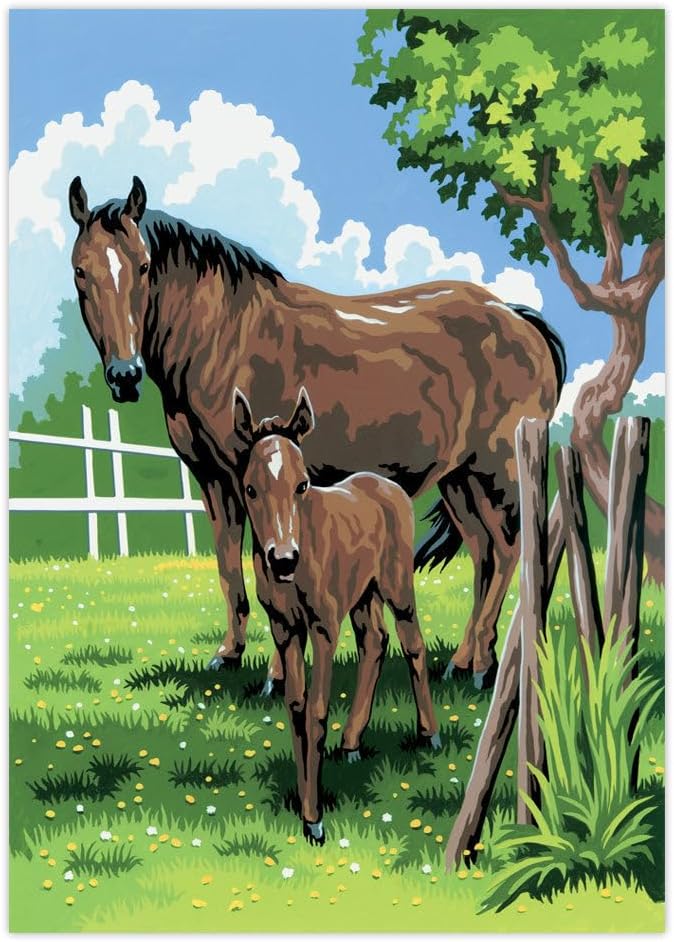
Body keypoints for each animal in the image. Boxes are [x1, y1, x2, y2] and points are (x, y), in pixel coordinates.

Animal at [68, 175, 566, 690]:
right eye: (81, 271)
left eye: (144, 266)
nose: (125, 375)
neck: (226, 338)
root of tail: (518, 317)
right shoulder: (216, 481)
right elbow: (228, 567)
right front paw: (229, 655)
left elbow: (262, 564)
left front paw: (276, 676)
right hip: (459, 479)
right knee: (484, 553)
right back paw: (465, 661)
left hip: (498, 470)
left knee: (508, 551)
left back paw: (482, 667)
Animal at [233, 386, 440, 843]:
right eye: (250, 489)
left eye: (303, 484)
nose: (283, 560)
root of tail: (387, 486)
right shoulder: (283, 626)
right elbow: (294, 705)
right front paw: (303, 807)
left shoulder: (323, 624)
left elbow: (316, 710)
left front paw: (315, 821)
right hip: (363, 595)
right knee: (375, 642)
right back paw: (350, 744)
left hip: (396, 585)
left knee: (412, 643)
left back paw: (429, 735)